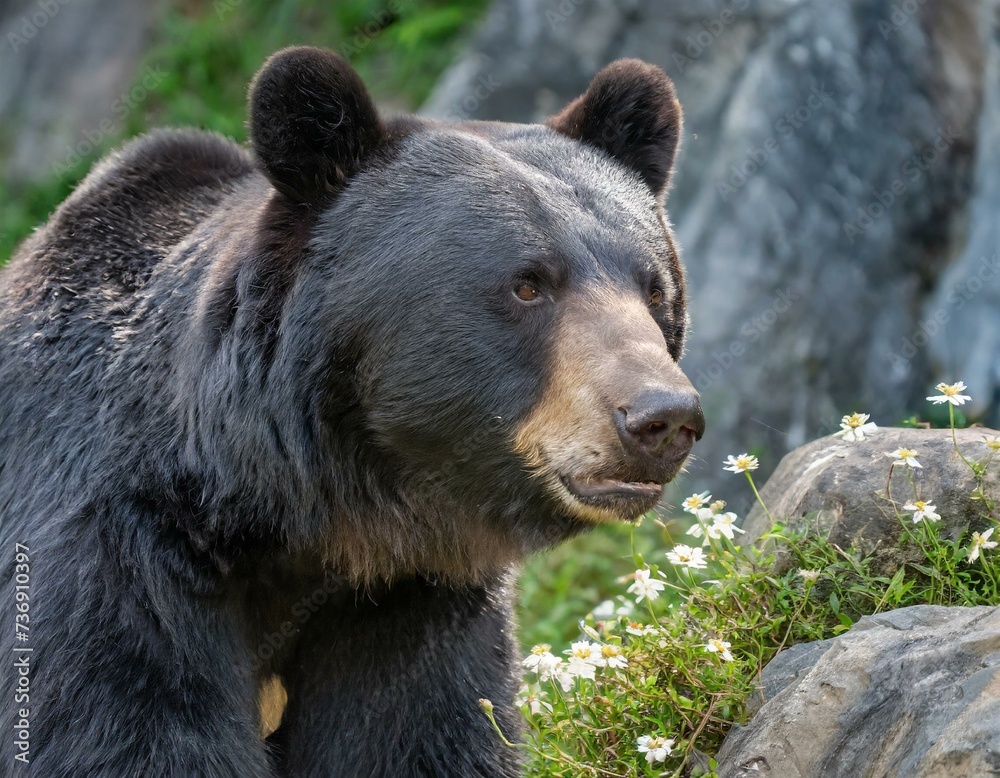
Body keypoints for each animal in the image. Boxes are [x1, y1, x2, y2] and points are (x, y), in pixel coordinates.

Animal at [0, 47, 703, 776]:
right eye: (528, 284)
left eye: (655, 289)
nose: (662, 418)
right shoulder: (117, 555)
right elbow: (127, 725)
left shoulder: (407, 599)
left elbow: (412, 736)